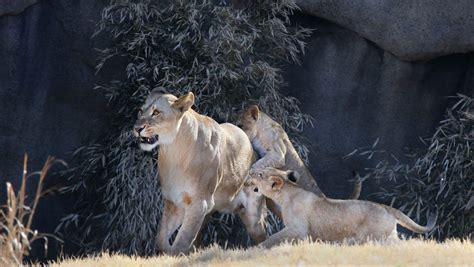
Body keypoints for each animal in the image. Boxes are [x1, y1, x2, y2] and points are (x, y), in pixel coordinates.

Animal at [133, 89, 264, 255]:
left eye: (156, 112)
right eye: (140, 111)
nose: (137, 129)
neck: (173, 151)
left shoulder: (200, 202)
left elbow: (182, 240)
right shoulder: (174, 201)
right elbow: (161, 239)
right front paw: (167, 251)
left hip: (253, 218)